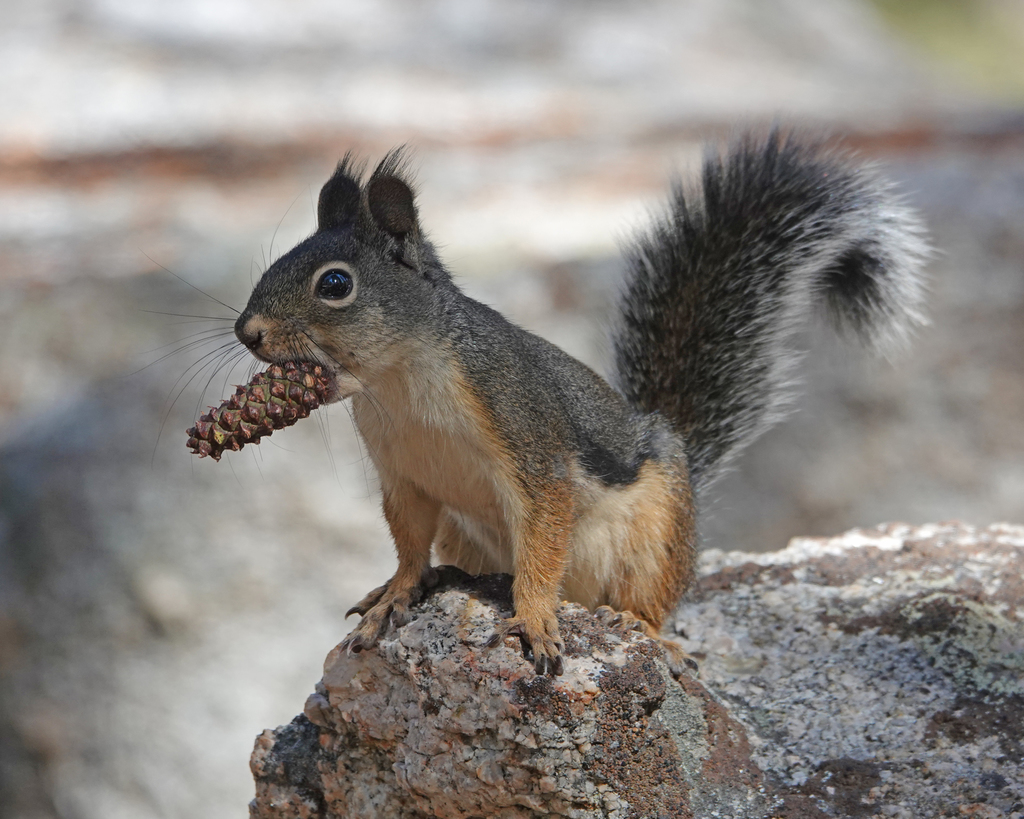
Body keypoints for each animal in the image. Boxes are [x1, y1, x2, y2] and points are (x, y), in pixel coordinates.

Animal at [233, 130, 928, 676]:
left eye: (335, 284)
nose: (247, 332)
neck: (399, 385)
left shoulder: (525, 435)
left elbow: (542, 542)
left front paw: (536, 619)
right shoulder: (404, 476)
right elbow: (407, 544)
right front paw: (396, 594)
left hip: (656, 537)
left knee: (646, 602)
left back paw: (647, 633)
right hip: (465, 533)